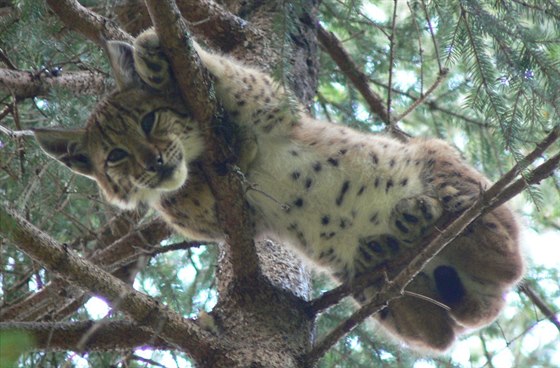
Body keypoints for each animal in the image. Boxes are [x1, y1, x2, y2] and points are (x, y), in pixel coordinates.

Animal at [35, 29, 524, 350]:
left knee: (508, 256)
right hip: (379, 297)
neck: (199, 155)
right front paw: (170, 188)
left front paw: (154, 49)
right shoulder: (225, 217)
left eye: (149, 120)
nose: (153, 163)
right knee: (439, 332)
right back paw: (392, 240)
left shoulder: (272, 104)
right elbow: (182, 202)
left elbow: (225, 70)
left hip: (436, 155)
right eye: (115, 156)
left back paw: (443, 211)